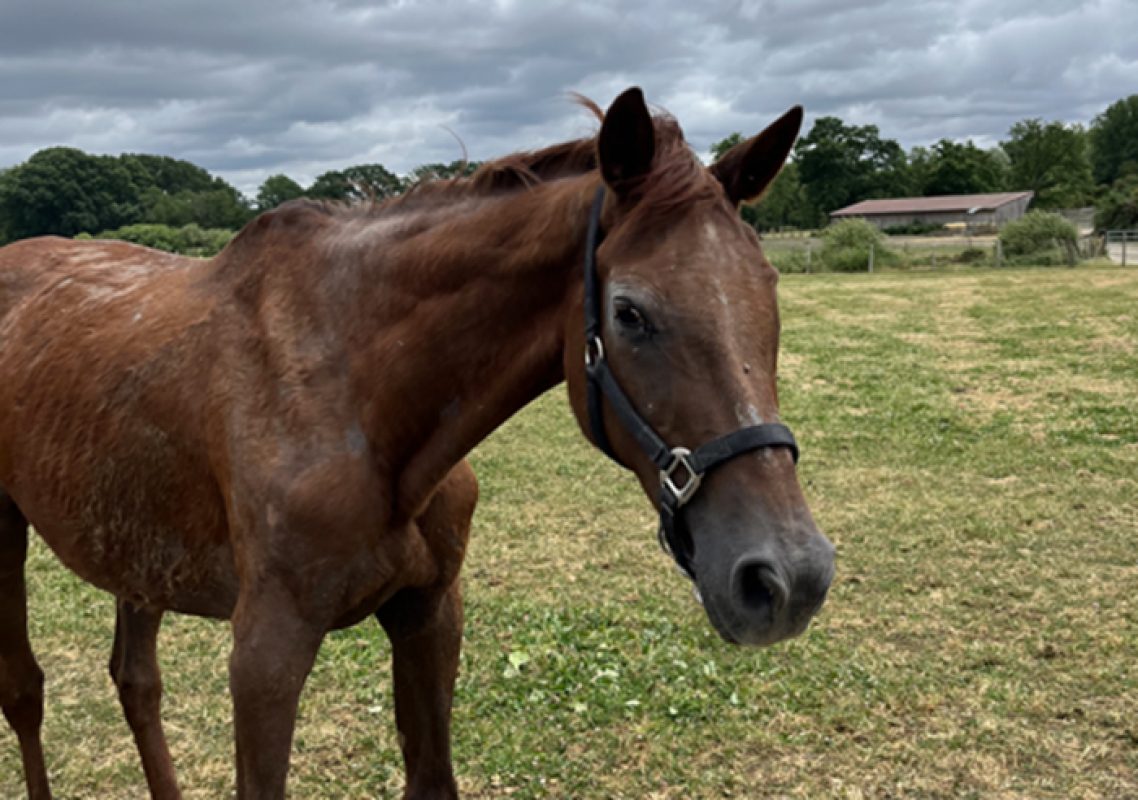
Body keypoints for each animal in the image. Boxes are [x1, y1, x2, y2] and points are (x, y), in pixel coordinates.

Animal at [0, 88, 835, 799]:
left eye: (770, 290)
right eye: (629, 312)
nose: (789, 577)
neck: (358, 401)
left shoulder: (429, 615)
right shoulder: (266, 650)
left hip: (136, 550)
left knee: (135, 681)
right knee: (26, 690)